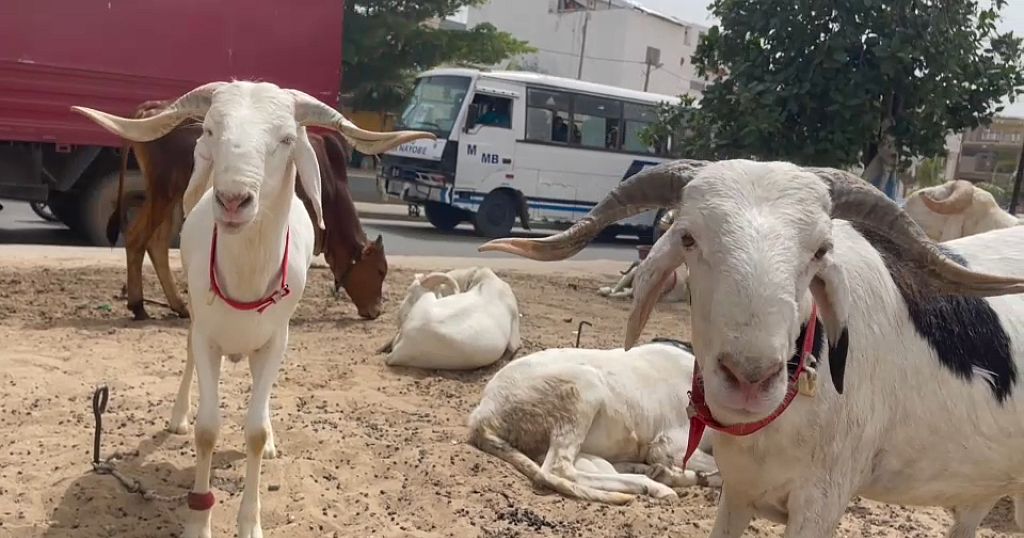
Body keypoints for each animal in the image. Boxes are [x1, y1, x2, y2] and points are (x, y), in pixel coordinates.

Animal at [72, 80, 433, 538]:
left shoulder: (275, 341)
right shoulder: (207, 335)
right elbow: (207, 429)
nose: (232, 200)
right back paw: (173, 404)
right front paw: (199, 522)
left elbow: (255, 432)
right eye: (209, 130)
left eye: (287, 139)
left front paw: (250, 521)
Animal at [467, 338, 722, 505]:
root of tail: (482, 414)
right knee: (559, 468)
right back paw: (655, 484)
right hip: (583, 389)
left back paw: (655, 474)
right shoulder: (671, 444)